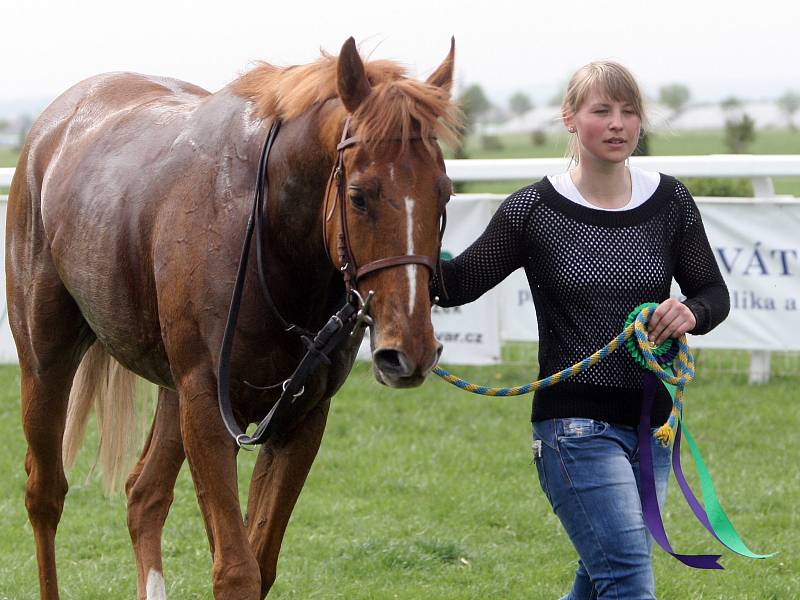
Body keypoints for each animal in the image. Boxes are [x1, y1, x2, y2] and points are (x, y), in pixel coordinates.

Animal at [6, 38, 460, 600]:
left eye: (445, 193)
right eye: (359, 196)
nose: (410, 351)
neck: (260, 227)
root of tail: (55, 124)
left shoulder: (299, 416)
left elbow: (260, 562)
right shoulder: (206, 406)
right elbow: (236, 569)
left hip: (171, 388)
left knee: (144, 495)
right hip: (44, 362)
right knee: (45, 492)